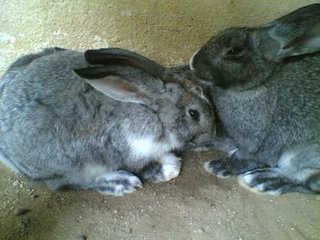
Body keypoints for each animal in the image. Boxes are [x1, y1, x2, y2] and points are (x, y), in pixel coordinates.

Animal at [0, 47, 215, 197]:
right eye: (194, 113)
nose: (212, 136)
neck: (152, 111)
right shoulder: (132, 151)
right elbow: (143, 166)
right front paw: (168, 170)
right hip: (67, 165)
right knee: (76, 182)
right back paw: (122, 183)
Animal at [190, 3, 320, 195]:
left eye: (234, 50)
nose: (192, 63)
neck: (256, 86)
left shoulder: (260, 142)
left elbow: (245, 158)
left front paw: (217, 167)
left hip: (304, 154)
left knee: (307, 181)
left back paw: (262, 180)